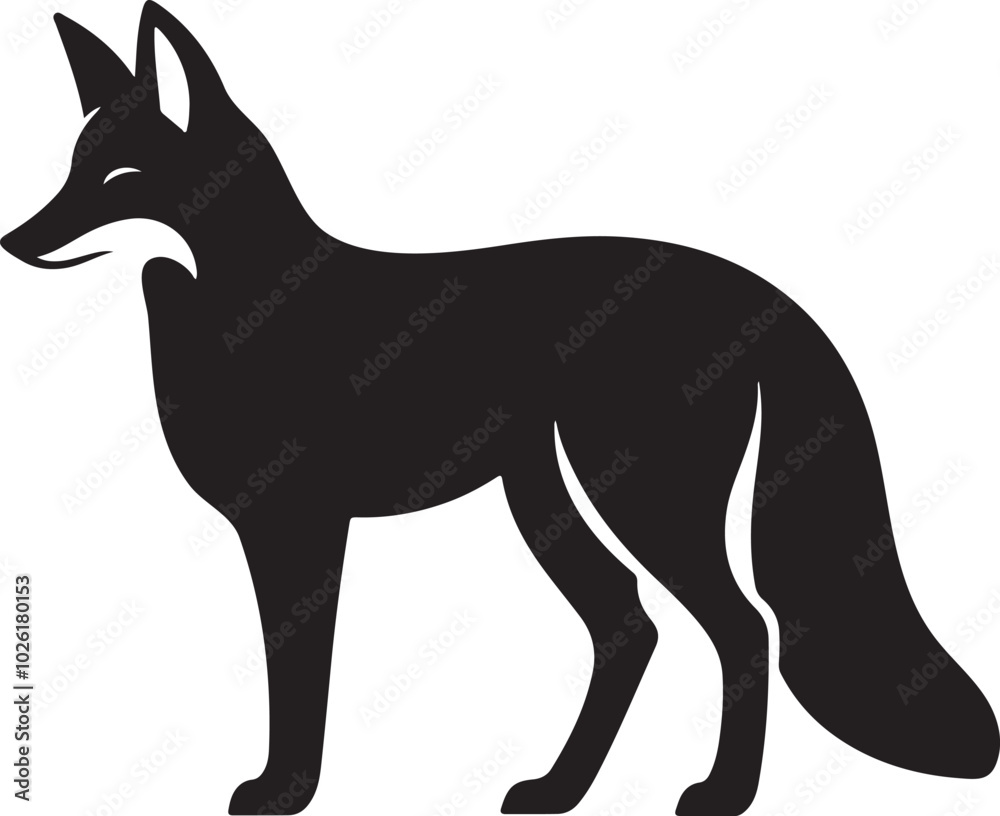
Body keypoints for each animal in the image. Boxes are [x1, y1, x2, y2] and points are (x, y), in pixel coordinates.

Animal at [3, 4, 997, 815]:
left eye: (121, 177)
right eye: (72, 167)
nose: (15, 240)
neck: (253, 305)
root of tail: (757, 291)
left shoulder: (297, 528)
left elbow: (299, 680)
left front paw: (285, 793)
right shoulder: (286, 528)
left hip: (636, 495)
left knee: (741, 626)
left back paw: (718, 796)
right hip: (545, 495)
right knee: (629, 625)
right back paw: (560, 790)